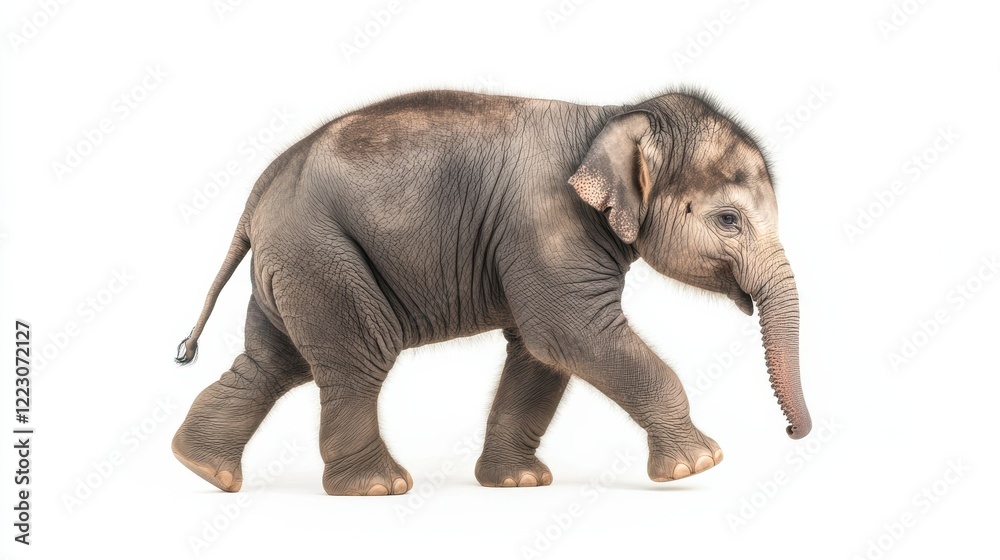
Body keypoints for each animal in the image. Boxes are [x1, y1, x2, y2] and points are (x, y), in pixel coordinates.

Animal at [172, 88, 811, 496]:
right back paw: (379, 487)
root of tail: (258, 194)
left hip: (294, 266)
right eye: (729, 220)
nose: (792, 433)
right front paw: (699, 465)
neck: (611, 117)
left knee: (276, 362)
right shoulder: (547, 223)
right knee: (356, 359)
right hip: (321, 257)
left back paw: (204, 469)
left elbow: (539, 354)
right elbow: (571, 334)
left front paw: (519, 483)